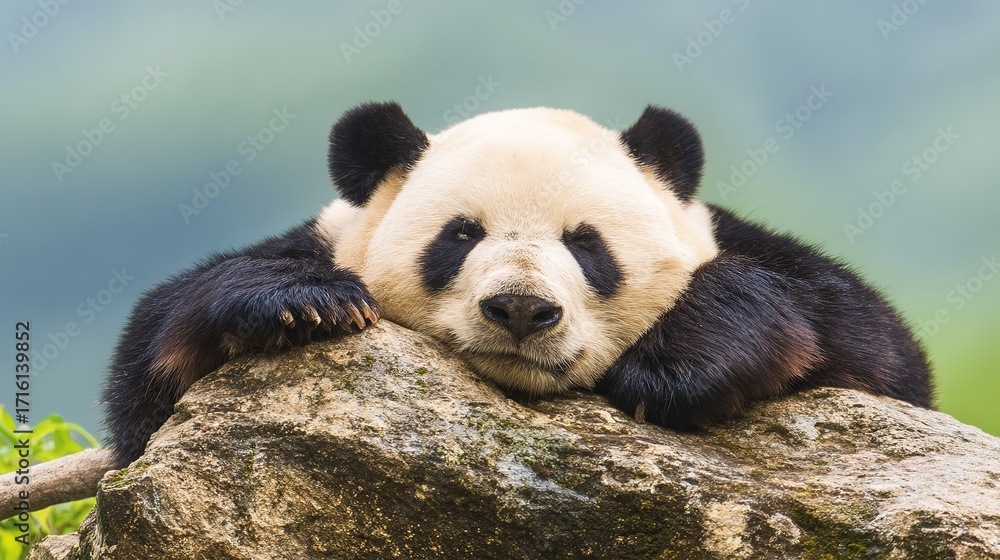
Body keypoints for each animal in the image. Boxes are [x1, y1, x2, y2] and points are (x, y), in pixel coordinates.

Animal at [103, 102, 933, 467]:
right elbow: (145, 387)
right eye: (461, 235)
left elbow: (873, 349)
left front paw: (673, 371)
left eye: (586, 244)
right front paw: (302, 303)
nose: (522, 311)